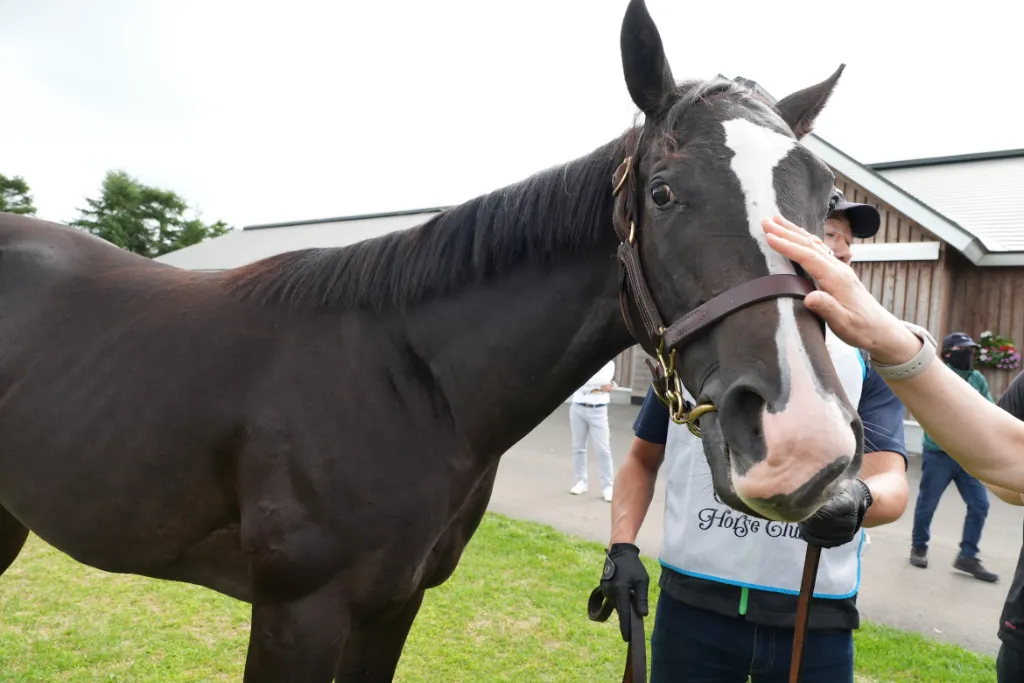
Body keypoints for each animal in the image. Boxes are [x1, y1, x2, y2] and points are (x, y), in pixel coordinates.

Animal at [0, 1, 862, 680]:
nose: (808, 443)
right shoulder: (297, 613)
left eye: (824, 200)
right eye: (664, 193)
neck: (408, 385)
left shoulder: (394, 604)